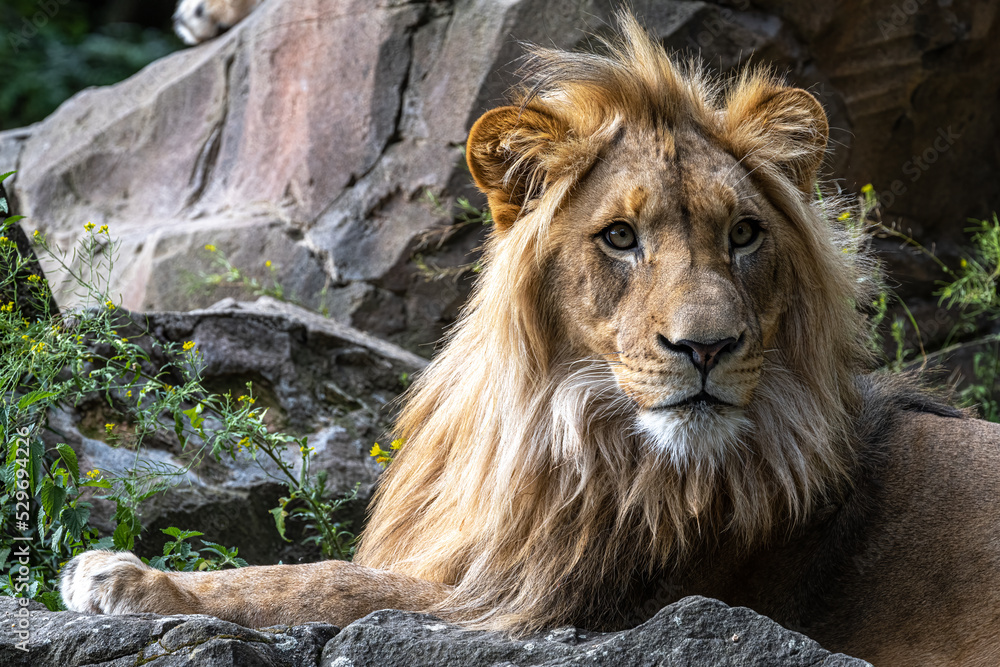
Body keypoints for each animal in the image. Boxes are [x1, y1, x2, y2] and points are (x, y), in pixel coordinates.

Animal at [61, 12, 1000, 666]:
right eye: (620, 237)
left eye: (743, 234)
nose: (707, 347)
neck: (560, 429)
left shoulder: (535, 605)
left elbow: (315, 583)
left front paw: (123, 577)